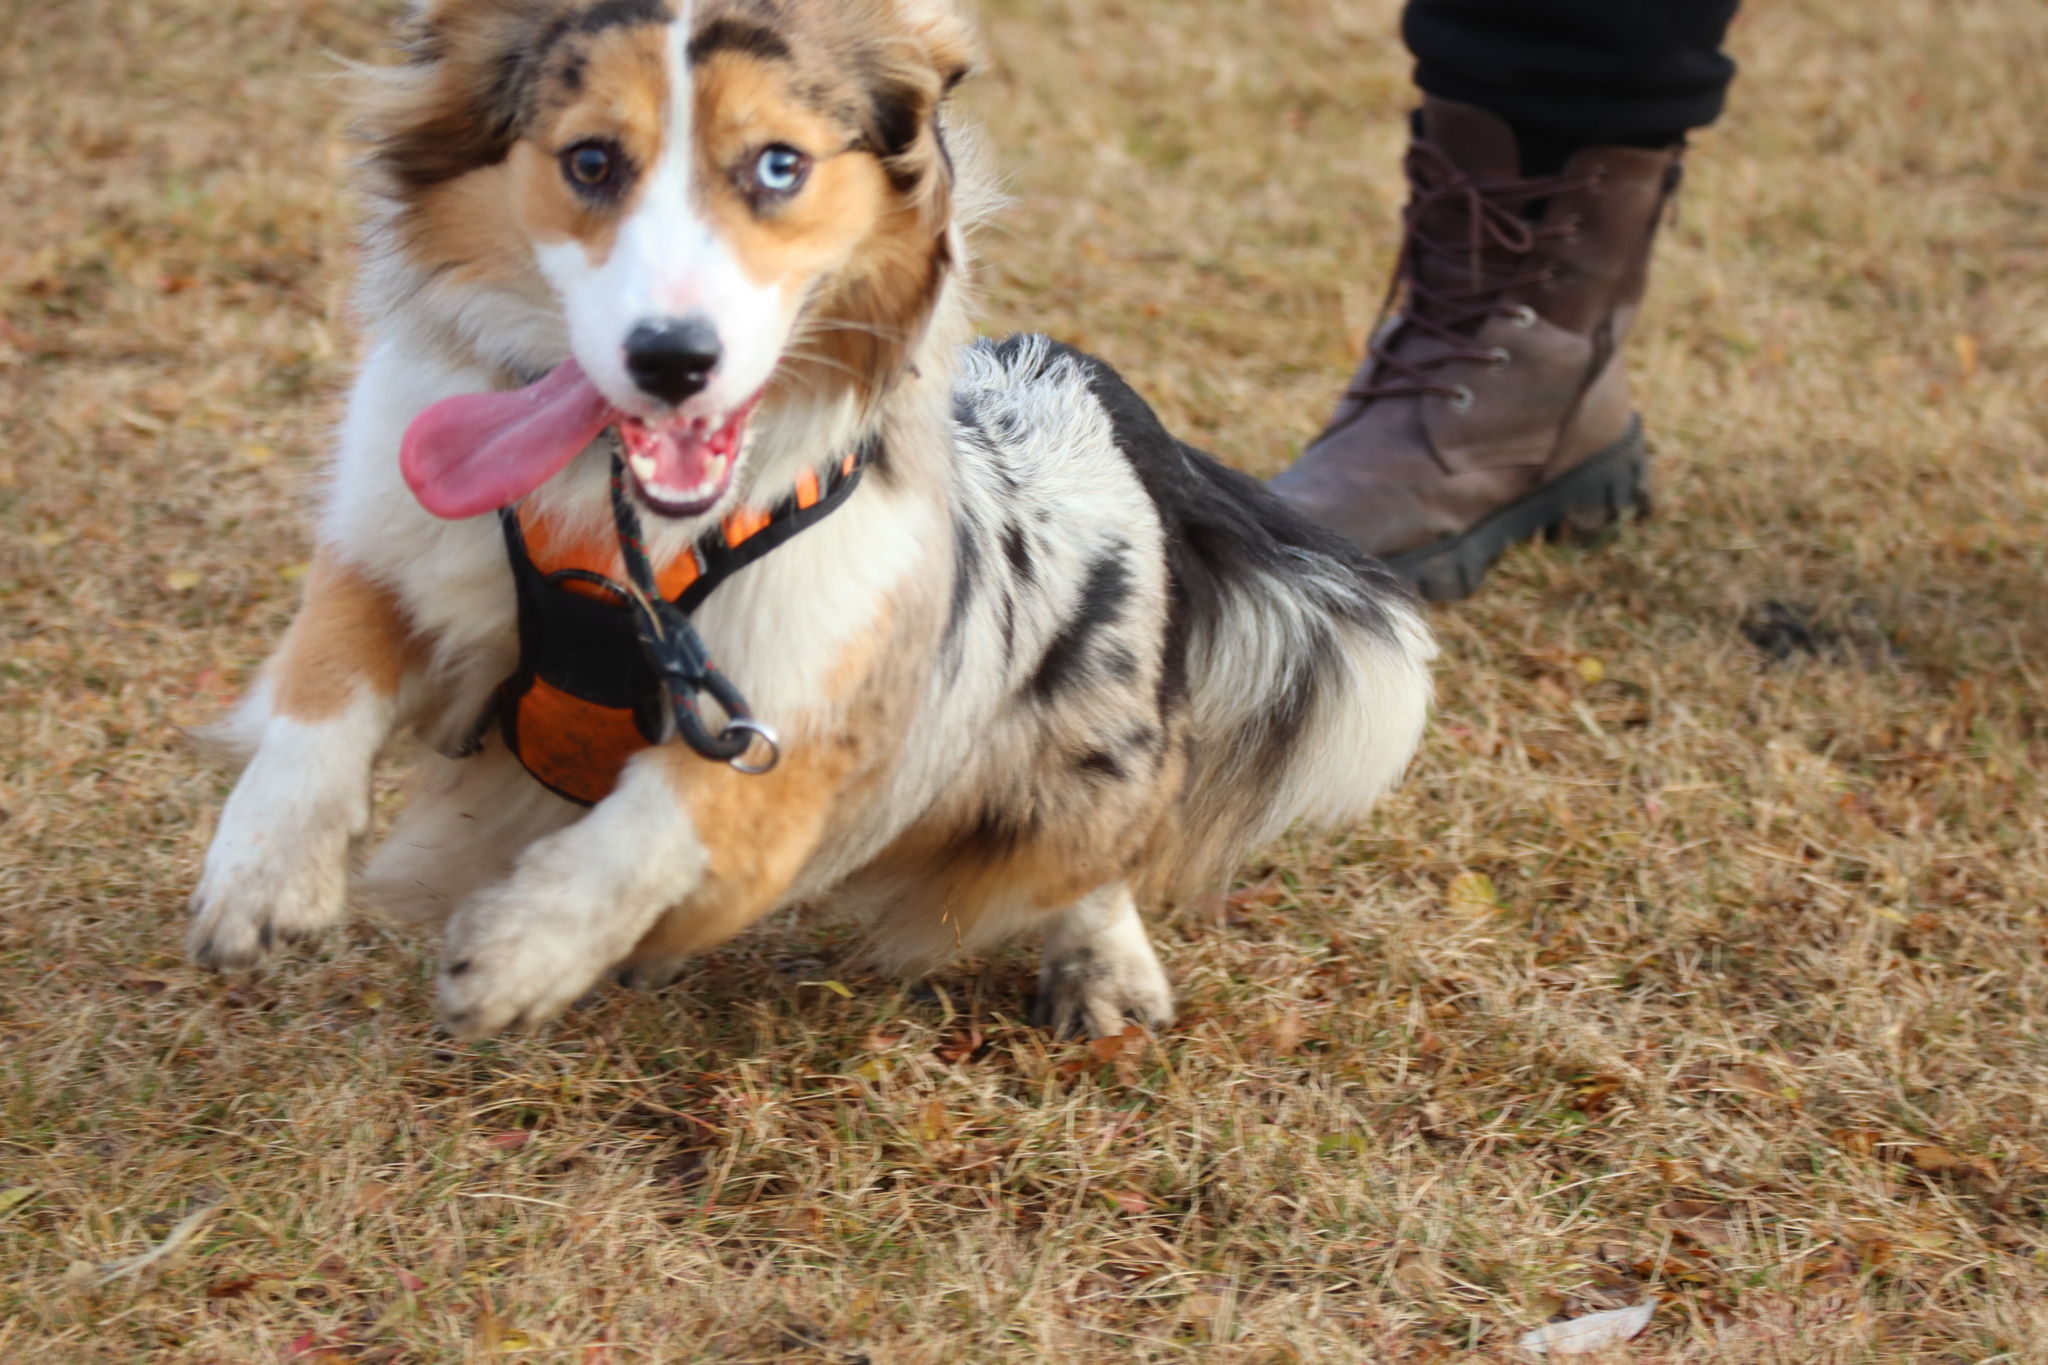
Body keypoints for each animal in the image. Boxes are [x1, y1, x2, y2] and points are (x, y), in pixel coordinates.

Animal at [195, 0, 1441, 1039]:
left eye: (778, 165)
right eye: (590, 160)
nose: (671, 358)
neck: (618, 523)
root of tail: (1102, 398)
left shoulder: (804, 720)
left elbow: (664, 816)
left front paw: (519, 953)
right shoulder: (394, 546)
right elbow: (324, 687)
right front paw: (261, 879)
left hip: (1074, 763)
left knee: (1083, 864)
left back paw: (1104, 977)